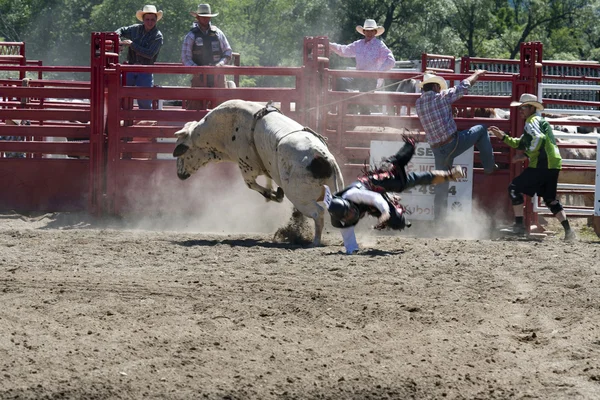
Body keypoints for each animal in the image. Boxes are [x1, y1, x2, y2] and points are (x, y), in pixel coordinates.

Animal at [171, 98, 344, 245]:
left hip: (301, 198)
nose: (179, 175)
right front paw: (274, 192)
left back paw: (315, 241)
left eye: (182, 153)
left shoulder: (247, 167)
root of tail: (323, 158)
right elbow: (267, 180)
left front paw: (272, 195)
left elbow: (251, 184)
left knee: (318, 213)